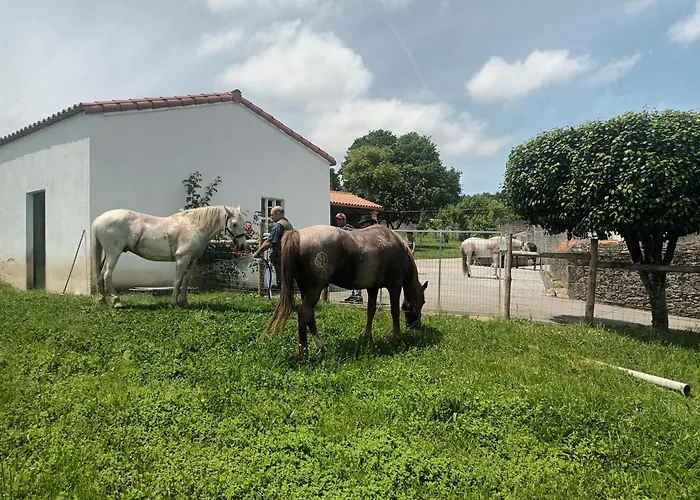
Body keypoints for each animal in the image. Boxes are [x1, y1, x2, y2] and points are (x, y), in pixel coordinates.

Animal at [91, 205, 248, 308]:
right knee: (107, 274)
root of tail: (98, 220)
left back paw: (102, 300)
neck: (194, 226)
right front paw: (174, 303)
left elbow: (186, 280)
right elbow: (177, 280)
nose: (242, 246)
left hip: (108, 254)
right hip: (114, 253)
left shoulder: (191, 260)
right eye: (234, 224)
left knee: (100, 274)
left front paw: (184, 302)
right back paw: (117, 302)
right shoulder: (182, 258)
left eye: (244, 223)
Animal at [260, 224, 429, 356]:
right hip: (315, 288)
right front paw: (399, 340)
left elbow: (371, 310)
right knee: (304, 313)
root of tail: (298, 235)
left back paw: (321, 346)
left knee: (309, 315)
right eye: (422, 302)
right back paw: (304, 351)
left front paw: (368, 338)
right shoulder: (395, 286)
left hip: (305, 288)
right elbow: (394, 312)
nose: (415, 325)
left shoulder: (373, 288)